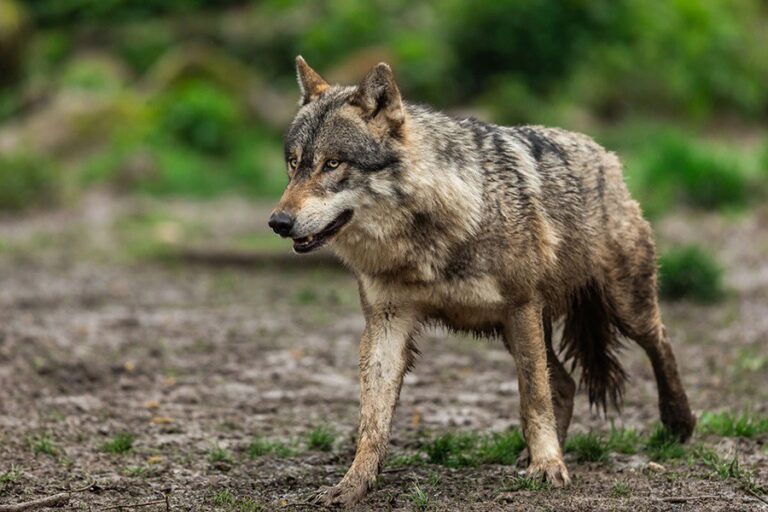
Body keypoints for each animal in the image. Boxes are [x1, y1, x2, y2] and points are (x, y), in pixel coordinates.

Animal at [268, 57, 696, 508]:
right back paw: (532, 455)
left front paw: (548, 466)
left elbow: (534, 398)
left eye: (332, 164)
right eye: (294, 163)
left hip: (620, 306)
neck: (427, 235)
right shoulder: (386, 322)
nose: (278, 222)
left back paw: (677, 423)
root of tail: (606, 156)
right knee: (565, 382)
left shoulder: (521, 307)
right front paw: (353, 484)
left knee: (659, 341)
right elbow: (372, 420)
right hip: (517, 330)